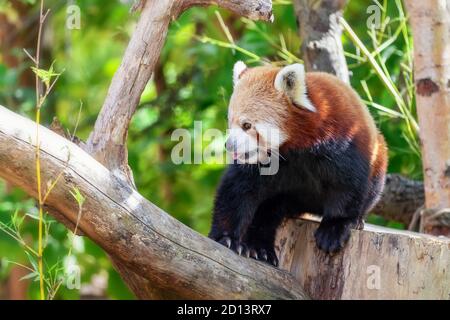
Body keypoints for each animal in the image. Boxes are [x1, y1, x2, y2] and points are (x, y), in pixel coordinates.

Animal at [209, 61, 388, 266]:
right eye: (230, 123)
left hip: (379, 158)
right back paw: (260, 249)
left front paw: (334, 228)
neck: (294, 146)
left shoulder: (344, 143)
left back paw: (358, 220)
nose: (229, 145)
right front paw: (227, 238)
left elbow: (347, 187)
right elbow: (237, 191)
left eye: (247, 125)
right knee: (267, 213)